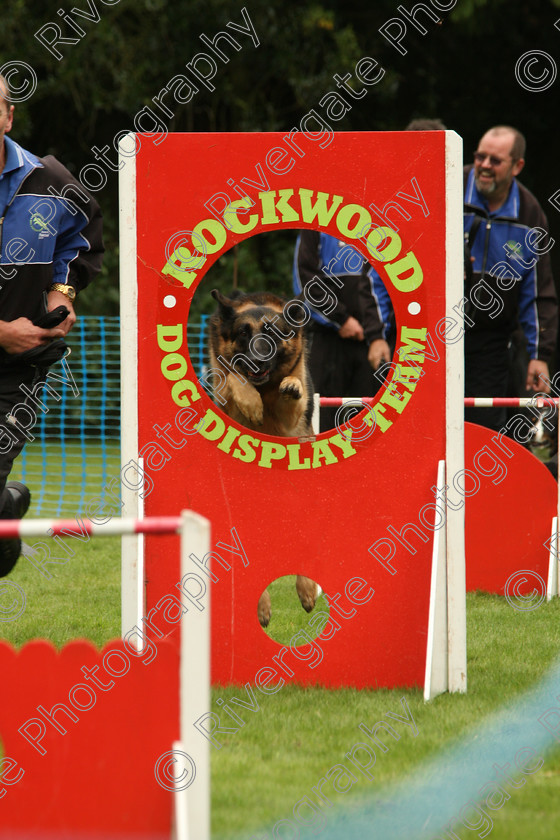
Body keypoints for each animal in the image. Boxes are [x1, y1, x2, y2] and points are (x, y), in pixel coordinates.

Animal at [208, 288, 320, 624]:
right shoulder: (225, 383)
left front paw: (291, 386)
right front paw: (252, 404)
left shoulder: (290, 420)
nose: (257, 361)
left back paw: (307, 590)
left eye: (272, 333)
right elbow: (234, 376)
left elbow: (292, 393)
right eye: (243, 334)